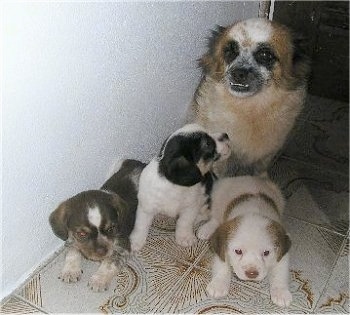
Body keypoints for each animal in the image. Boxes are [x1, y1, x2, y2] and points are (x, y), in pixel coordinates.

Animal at [49, 159, 145, 292]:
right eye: (82, 234)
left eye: (111, 229)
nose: (102, 252)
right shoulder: (71, 238)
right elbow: (72, 252)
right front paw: (70, 271)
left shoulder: (123, 246)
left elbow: (109, 263)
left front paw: (99, 280)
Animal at [130, 123, 231, 252]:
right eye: (208, 143)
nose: (226, 135)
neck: (174, 186)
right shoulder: (146, 206)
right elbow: (141, 225)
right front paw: (136, 241)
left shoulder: (190, 207)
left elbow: (184, 222)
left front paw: (184, 237)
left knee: (214, 216)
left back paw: (205, 229)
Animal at [186, 17, 308, 178]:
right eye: (230, 52)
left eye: (265, 55)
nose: (238, 73)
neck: (251, 111)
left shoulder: (268, 153)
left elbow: (260, 170)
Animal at [197, 177, 292, 310]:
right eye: (238, 251)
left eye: (266, 253)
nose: (251, 273)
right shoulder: (221, 249)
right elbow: (222, 267)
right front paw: (219, 284)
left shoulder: (282, 254)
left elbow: (280, 274)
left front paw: (281, 292)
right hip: (217, 196)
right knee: (215, 217)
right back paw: (206, 229)